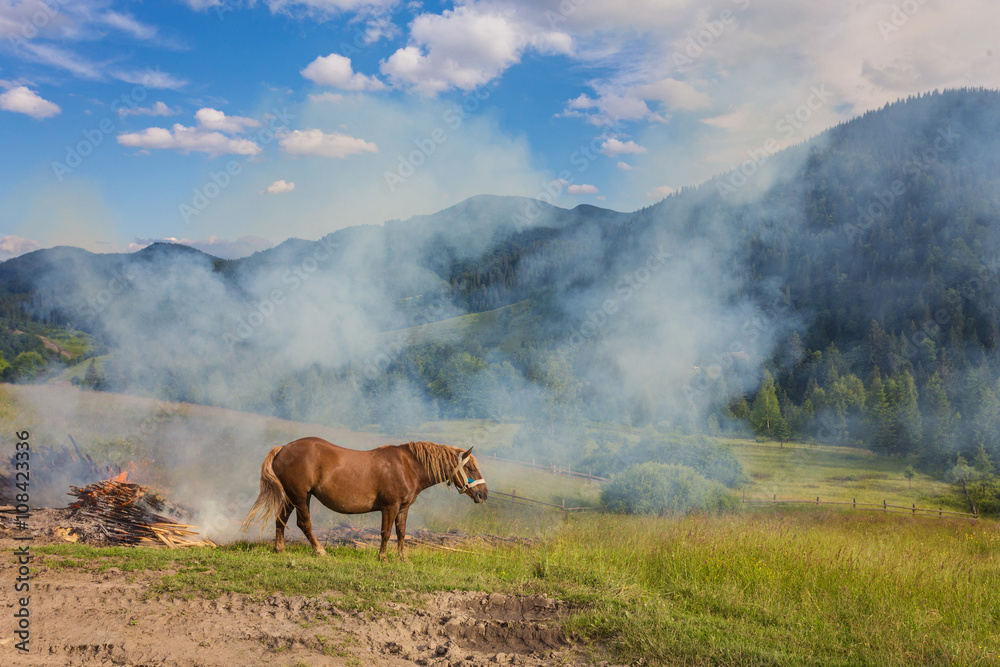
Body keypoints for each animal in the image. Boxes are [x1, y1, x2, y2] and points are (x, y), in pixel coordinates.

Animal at [240, 440, 486, 560]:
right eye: (471, 467)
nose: (483, 494)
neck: (407, 466)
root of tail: (282, 449)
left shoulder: (403, 508)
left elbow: (401, 533)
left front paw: (402, 557)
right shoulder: (390, 507)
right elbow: (386, 533)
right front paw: (382, 557)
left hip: (291, 497)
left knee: (280, 520)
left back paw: (279, 549)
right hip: (301, 497)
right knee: (304, 524)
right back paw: (320, 551)